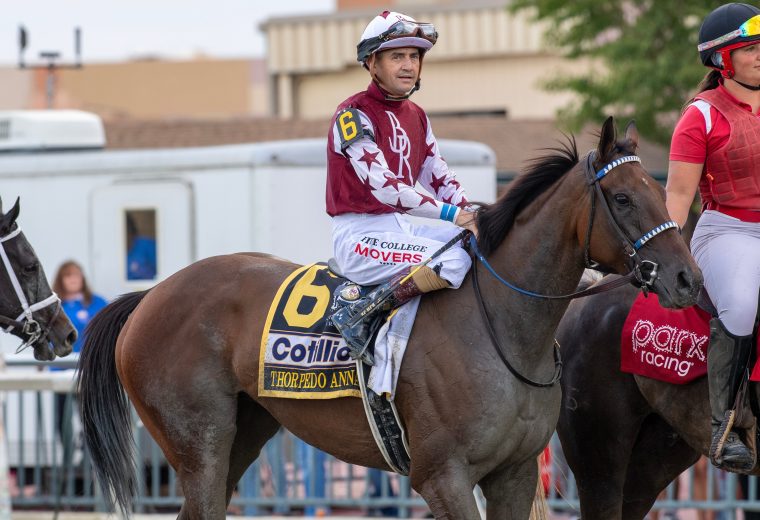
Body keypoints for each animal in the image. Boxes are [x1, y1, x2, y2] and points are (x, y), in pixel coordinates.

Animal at [75, 118, 700, 520]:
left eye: (659, 186)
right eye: (622, 198)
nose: (686, 279)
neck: (500, 328)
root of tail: (150, 296)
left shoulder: (516, 473)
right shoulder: (442, 477)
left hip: (243, 435)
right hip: (198, 445)